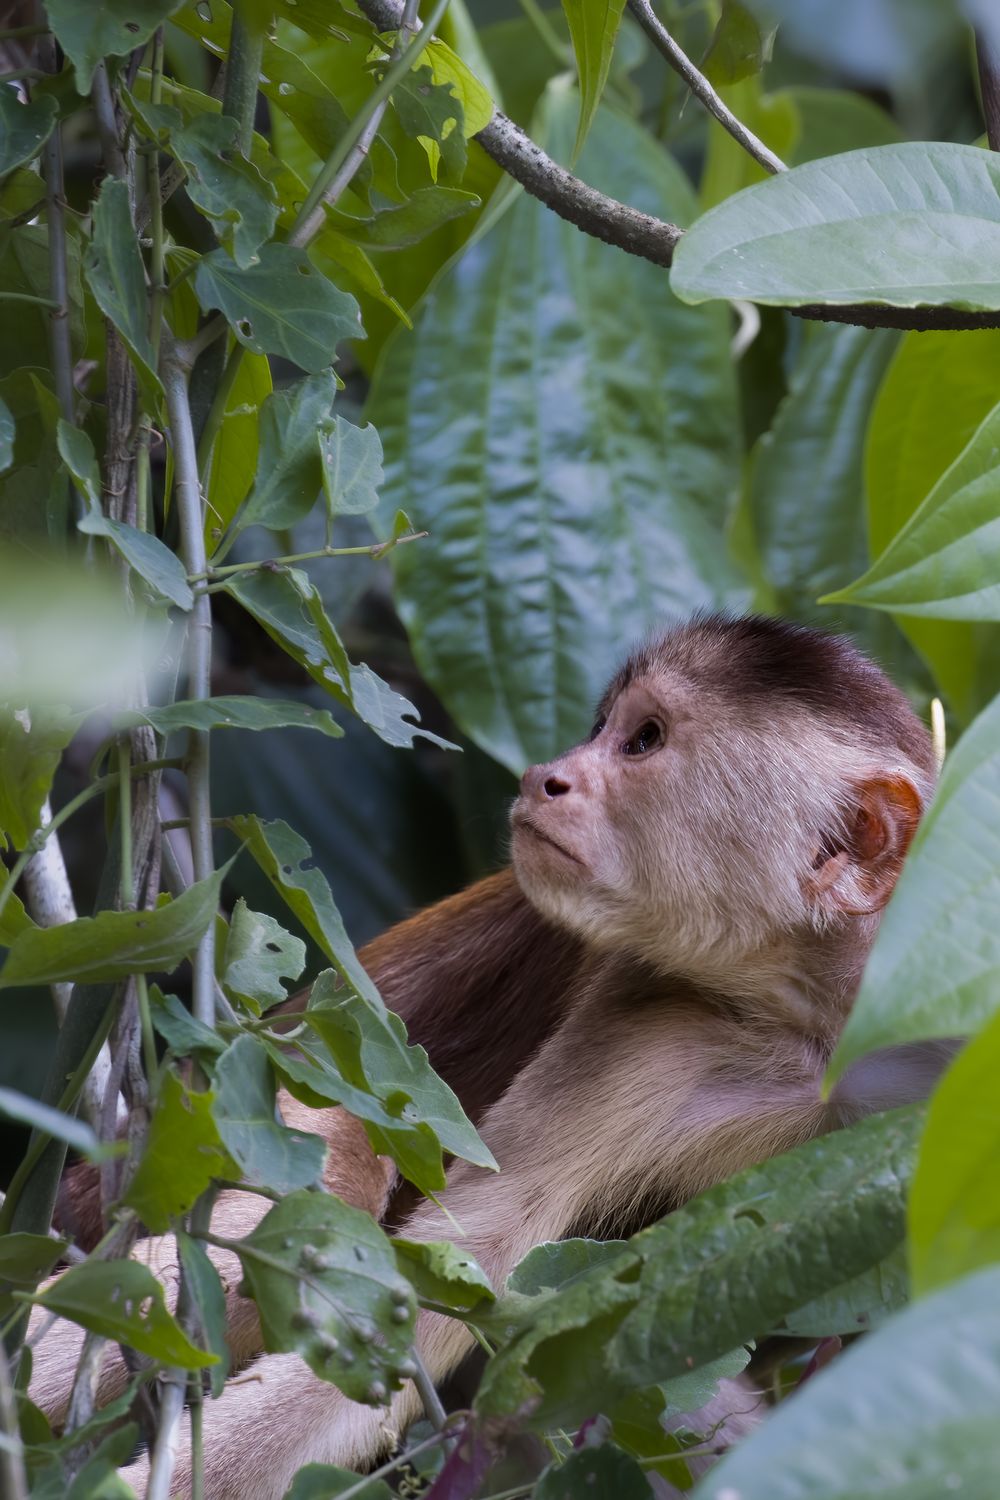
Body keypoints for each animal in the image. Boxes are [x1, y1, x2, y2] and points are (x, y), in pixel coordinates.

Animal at [27, 614, 943, 1500]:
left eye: (642, 741)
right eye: (604, 728)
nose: (548, 775)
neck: (826, 1018)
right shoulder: (652, 1027)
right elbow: (448, 1287)